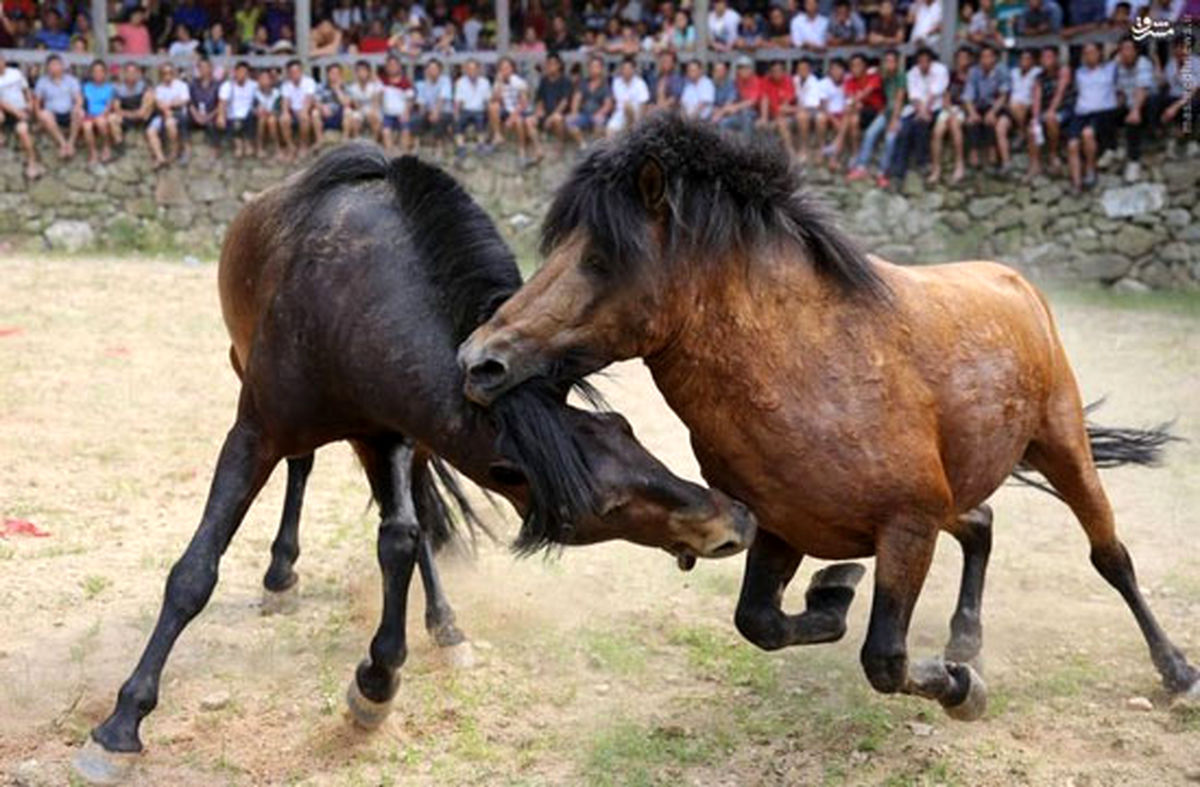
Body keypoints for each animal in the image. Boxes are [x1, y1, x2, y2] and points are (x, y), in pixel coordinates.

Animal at [72, 144, 748, 782]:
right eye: (603, 506)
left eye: (624, 426)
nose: (733, 519)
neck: (348, 301)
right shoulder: (254, 431)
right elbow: (194, 572)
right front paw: (120, 726)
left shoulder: (392, 433)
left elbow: (401, 539)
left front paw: (377, 683)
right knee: (303, 466)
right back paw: (281, 577)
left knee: (413, 516)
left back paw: (445, 628)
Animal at [453, 115, 1195, 719]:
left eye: (601, 259)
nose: (477, 362)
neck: (808, 372)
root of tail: (1015, 283)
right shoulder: (782, 526)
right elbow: (760, 622)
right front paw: (834, 595)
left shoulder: (908, 524)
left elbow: (885, 659)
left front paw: (962, 691)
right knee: (981, 522)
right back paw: (965, 638)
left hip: (1062, 446)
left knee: (1110, 555)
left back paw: (1174, 670)